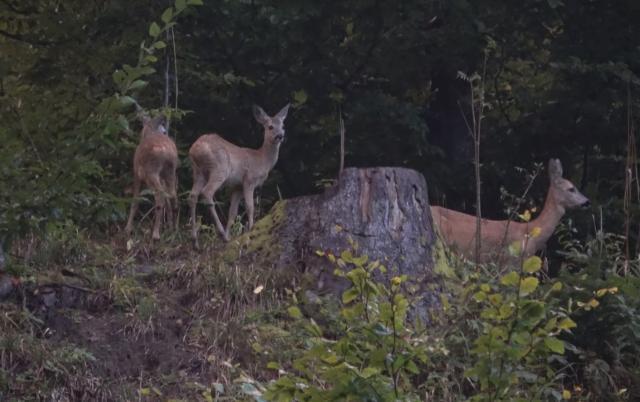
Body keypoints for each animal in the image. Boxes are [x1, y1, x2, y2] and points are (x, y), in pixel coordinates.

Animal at [124, 111, 178, 240]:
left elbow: (135, 200)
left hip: (151, 172)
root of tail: (166, 151)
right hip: (170, 171)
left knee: (160, 196)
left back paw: (156, 234)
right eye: (163, 130)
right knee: (173, 195)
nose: (166, 132)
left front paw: (128, 229)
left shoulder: (136, 173)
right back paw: (173, 230)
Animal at [189, 103, 292, 245]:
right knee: (207, 192)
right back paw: (221, 234)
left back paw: (196, 240)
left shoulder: (237, 186)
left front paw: (231, 236)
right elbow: (250, 206)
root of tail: (195, 148)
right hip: (220, 168)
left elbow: (233, 212)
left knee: (193, 195)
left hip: (198, 171)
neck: (261, 159)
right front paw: (250, 231)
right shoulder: (249, 179)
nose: (280, 136)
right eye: (270, 126)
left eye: (283, 126)